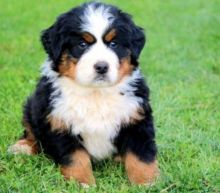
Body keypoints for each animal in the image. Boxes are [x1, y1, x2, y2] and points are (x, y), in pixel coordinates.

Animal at [8, 1, 159, 185]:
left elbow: (141, 155)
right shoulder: (59, 122)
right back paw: (22, 147)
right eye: (82, 44)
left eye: (113, 44)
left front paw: (147, 182)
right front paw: (82, 183)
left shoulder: (136, 118)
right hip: (32, 107)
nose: (101, 67)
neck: (95, 93)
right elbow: (76, 158)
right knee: (31, 131)